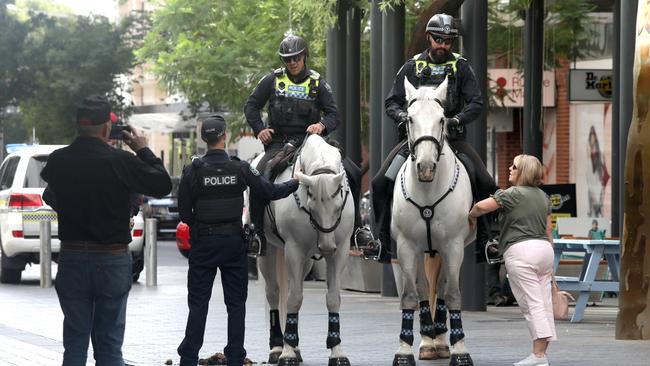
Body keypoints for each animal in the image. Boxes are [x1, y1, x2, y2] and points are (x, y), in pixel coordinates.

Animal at [253, 134, 354, 366]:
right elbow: (293, 298)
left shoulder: (341, 250)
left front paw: (337, 351)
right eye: (311, 203)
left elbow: (333, 298)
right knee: (274, 293)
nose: (326, 246)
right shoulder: (294, 249)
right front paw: (287, 354)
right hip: (269, 251)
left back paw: (295, 347)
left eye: (338, 204)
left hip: (307, 259)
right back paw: (277, 348)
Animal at [390, 78, 476, 366]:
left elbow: (453, 294)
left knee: (441, 287)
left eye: (441, 119)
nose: (426, 167)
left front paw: (460, 350)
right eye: (410, 119)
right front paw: (404, 351)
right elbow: (411, 296)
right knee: (425, 288)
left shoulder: (453, 246)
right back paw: (429, 339)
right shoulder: (406, 246)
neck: (428, 189)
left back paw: (439, 339)